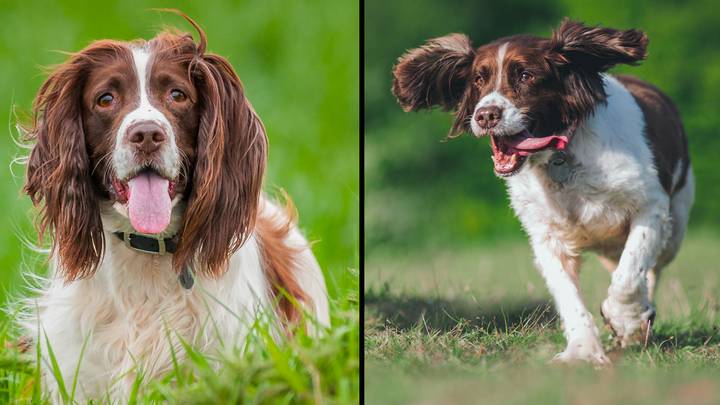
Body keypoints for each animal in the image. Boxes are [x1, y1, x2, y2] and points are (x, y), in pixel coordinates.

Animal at [394, 19, 692, 364]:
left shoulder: (651, 207)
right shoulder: (546, 235)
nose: (485, 115)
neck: (561, 157)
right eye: (478, 79)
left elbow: (630, 272)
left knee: (651, 269)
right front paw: (582, 350)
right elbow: (568, 295)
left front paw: (625, 320)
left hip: (675, 228)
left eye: (525, 75)